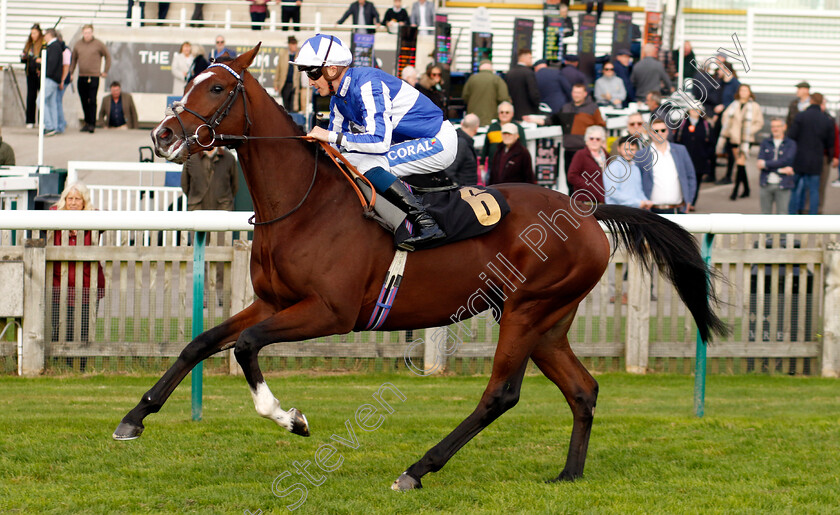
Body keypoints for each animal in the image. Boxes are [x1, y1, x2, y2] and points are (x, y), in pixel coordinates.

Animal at [115, 45, 724, 492]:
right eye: (190, 84)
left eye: (217, 88)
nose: (163, 135)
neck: (304, 203)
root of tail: (588, 212)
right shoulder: (272, 301)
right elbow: (201, 343)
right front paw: (134, 418)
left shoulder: (330, 312)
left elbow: (245, 347)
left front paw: (291, 419)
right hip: (550, 320)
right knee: (583, 389)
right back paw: (569, 474)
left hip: (526, 310)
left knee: (500, 395)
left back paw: (417, 469)